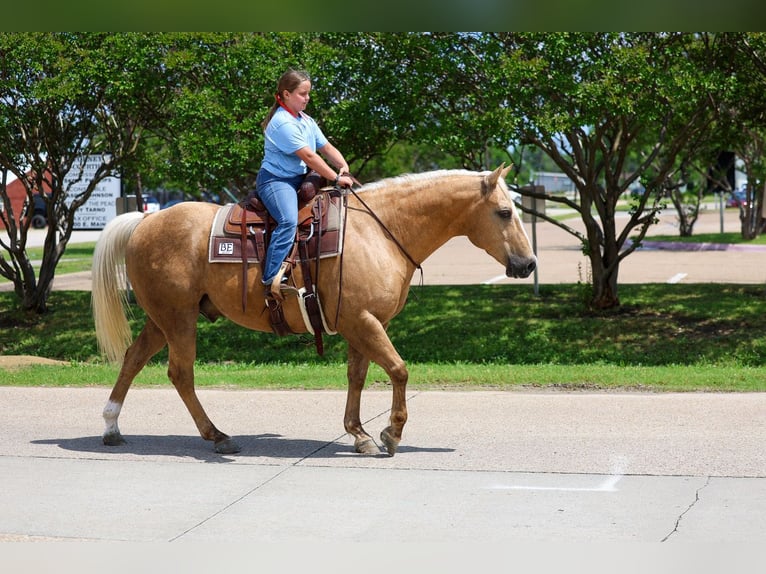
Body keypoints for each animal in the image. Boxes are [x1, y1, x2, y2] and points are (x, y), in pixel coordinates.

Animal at [91, 164, 536, 456]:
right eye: (504, 212)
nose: (528, 264)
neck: (378, 231)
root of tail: (143, 222)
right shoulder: (363, 321)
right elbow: (398, 369)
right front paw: (391, 434)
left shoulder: (361, 322)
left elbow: (358, 376)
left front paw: (359, 434)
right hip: (178, 318)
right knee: (180, 373)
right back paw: (217, 436)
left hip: (162, 319)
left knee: (133, 359)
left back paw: (112, 426)